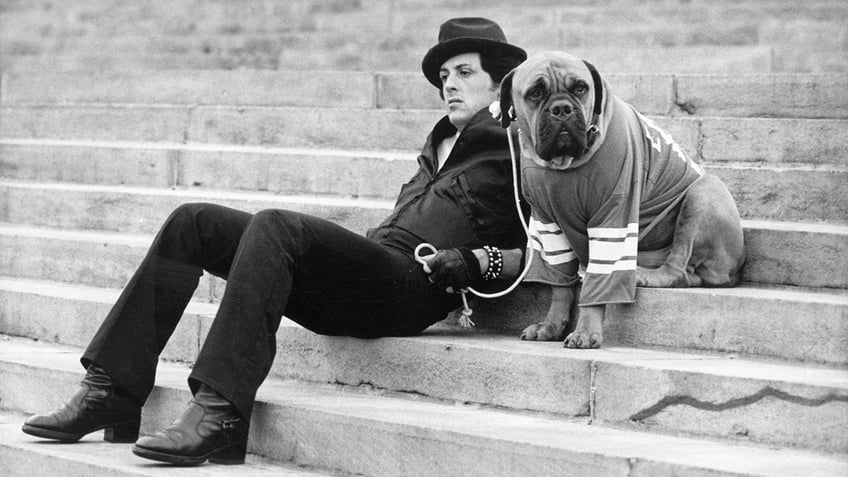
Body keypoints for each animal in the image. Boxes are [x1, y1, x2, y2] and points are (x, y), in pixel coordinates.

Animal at [496, 52, 744, 348]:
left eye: (580, 88)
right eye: (535, 93)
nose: (562, 108)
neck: (564, 165)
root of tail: (735, 269)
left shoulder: (613, 217)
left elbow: (599, 283)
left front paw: (586, 332)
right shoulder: (547, 223)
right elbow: (559, 284)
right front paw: (551, 324)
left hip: (704, 192)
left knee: (678, 269)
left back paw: (643, 275)